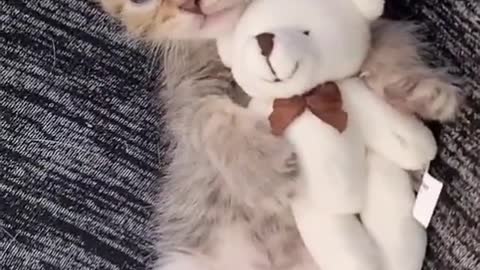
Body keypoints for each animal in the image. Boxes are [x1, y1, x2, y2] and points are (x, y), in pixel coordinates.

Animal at [99, 1, 464, 268]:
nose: (193, 7)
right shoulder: (188, 95)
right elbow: (207, 119)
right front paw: (263, 169)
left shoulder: (373, 28)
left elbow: (389, 44)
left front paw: (416, 90)